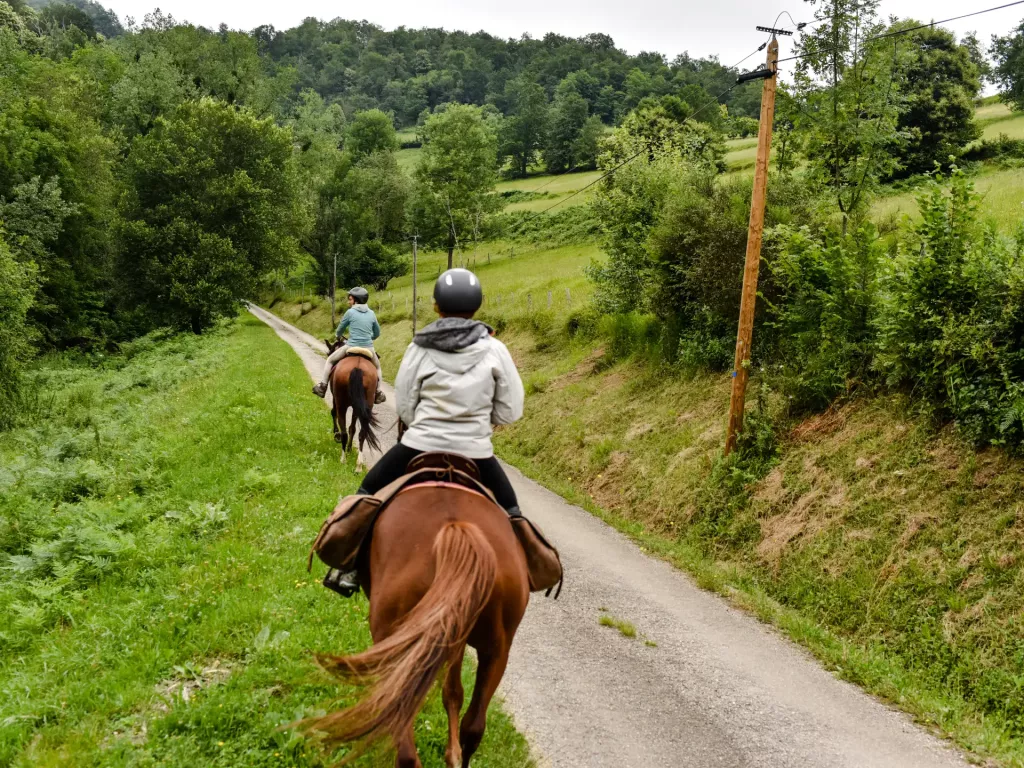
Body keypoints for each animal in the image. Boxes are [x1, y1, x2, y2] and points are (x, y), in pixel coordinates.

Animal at [303, 483, 528, 765]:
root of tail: (456, 529)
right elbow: (453, 692)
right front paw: (451, 754)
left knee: (404, 738)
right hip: (497, 650)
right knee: (474, 727)